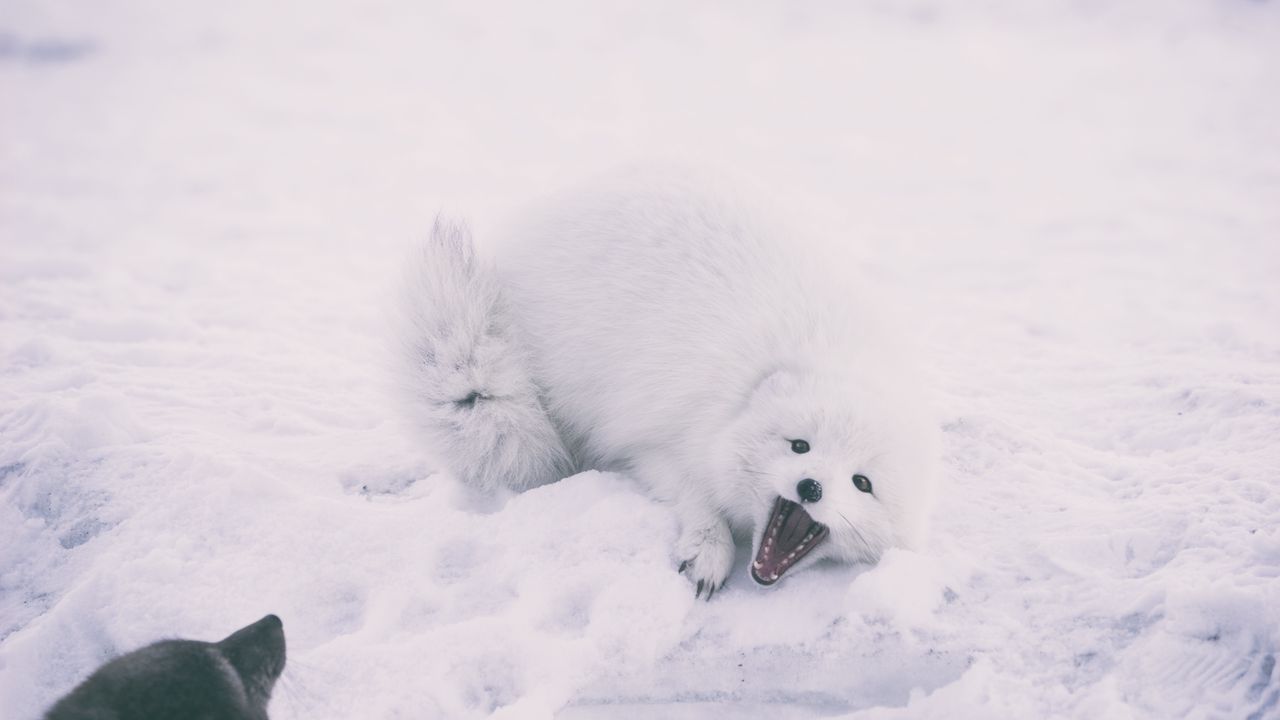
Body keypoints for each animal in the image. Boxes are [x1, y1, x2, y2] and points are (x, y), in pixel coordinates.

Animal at [399, 172, 942, 594]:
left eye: (862, 483)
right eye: (800, 446)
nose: (810, 488)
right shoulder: (654, 442)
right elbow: (695, 494)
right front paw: (709, 549)